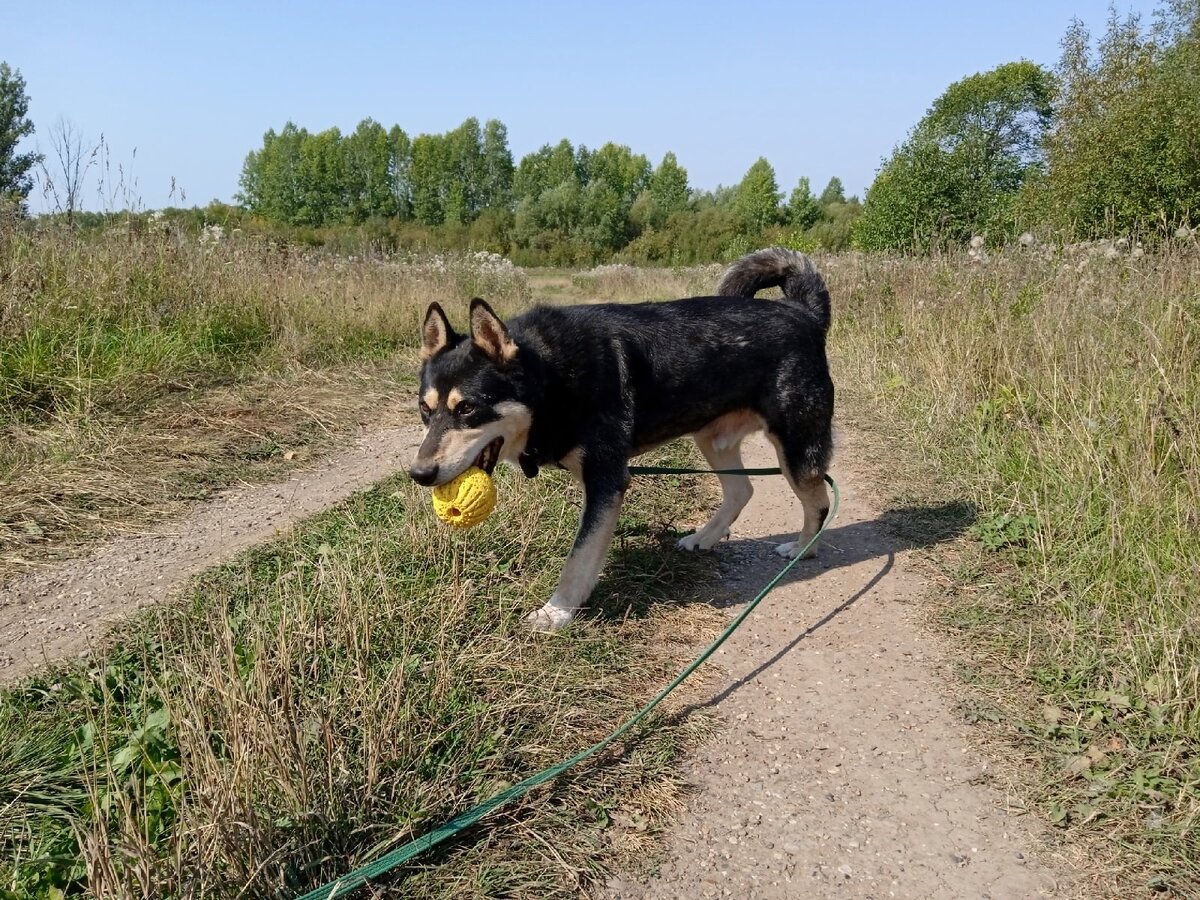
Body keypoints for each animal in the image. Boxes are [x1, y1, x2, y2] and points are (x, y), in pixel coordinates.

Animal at [408, 247, 830, 633]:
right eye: (425, 410)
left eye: (467, 408)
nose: (419, 474)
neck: (552, 379)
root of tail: (804, 313)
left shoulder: (606, 482)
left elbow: (578, 558)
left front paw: (557, 612)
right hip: (713, 439)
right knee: (742, 491)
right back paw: (705, 538)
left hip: (796, 449)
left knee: (819, 503)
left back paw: (803, 549)